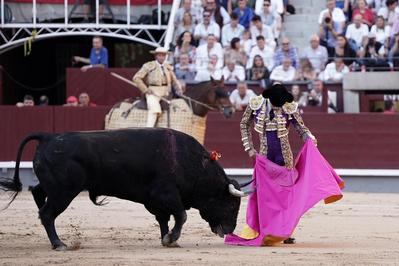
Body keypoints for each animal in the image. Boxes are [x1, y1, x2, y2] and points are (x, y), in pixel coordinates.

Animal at [0, 128, 247, 249]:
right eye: (231, 204)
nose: (230, 229)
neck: (192, 162)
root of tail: (48, 136)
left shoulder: (156, 201)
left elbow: (164, 220)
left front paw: (167, 239)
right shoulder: (165, 194)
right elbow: (181, 215)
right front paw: (171, 238)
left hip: (54, 187)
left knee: (37, 192)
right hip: (64, 191)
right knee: (47, 214)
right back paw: (59, 244)